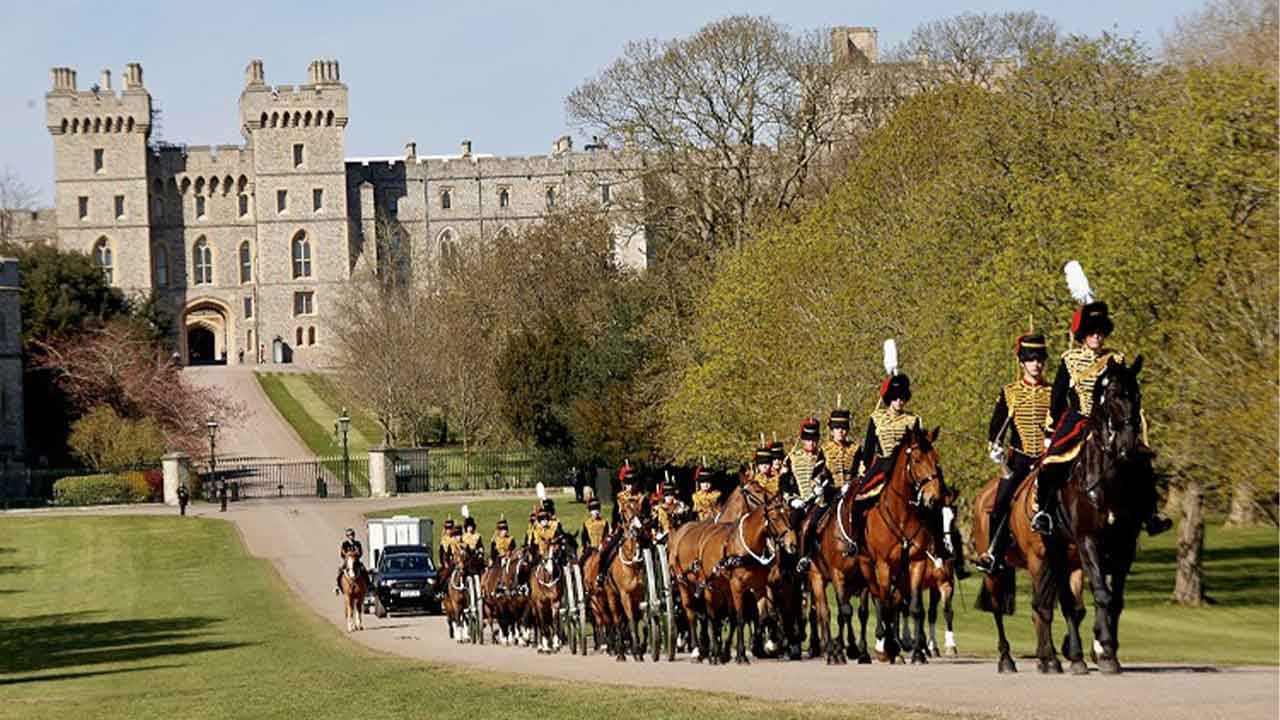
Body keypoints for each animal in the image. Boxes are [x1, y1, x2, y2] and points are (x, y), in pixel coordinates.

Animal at [855, 422, 947, 666]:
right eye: (916, 460)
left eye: (936, 458)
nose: (934, 498)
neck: (902, 514)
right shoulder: (883, 565)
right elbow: (885, 605)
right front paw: (889, 647)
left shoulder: (916, 562)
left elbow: (915, 608)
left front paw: (917, 653)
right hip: (868, 566)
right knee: (880, 599)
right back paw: (882, 646)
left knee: (896, 601)